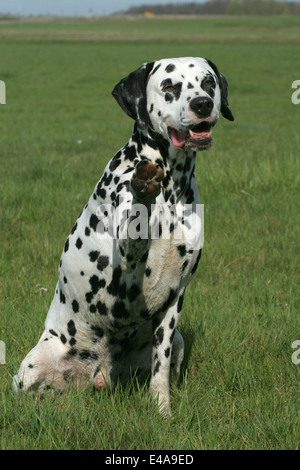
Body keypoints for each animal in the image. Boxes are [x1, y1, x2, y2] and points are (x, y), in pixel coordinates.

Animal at [13, 57, 234, 414]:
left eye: (208, 83)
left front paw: (163, 411)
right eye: (170, 86)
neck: (172, 189)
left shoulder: (174, 299)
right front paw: (143, 185)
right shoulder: (128, 257)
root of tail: (98, 373)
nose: (202, 104)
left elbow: (160, 370)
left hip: (177, 343)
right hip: (32, 367)